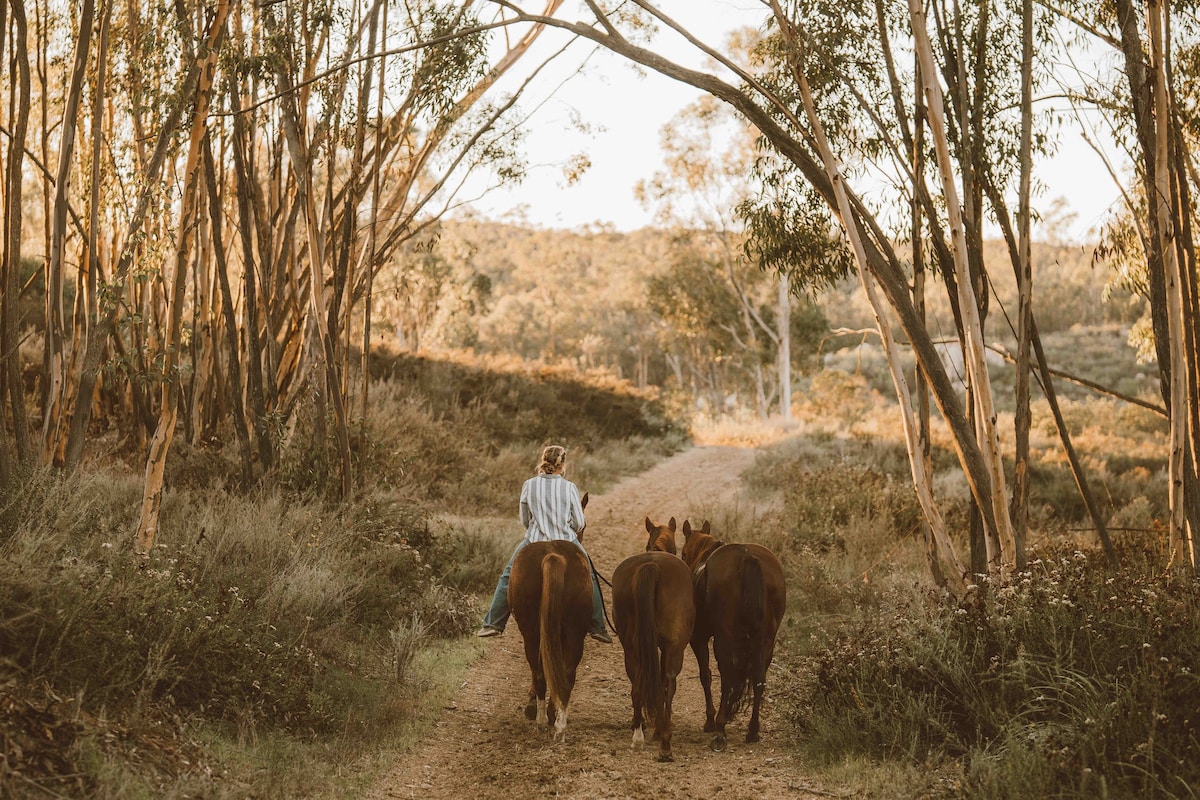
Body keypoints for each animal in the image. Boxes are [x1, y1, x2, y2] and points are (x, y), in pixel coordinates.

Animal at [508, 494, 592, 743]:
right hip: (572, 632)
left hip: (533, 631)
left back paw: (543, 719)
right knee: (565, 673)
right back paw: (558, 722)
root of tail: (552, 555)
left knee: (543, 672)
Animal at [614, 551, 691, 762]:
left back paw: (639, 736)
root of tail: (652, 565)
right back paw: (664, 743)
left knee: (637, 687)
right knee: (668, 684)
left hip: (632, 649)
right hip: (673, 648)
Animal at [686, 520, 787, 753]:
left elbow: (706, 675)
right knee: (759, 679)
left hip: (725, 638)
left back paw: (720, 730)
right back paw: (753, 730)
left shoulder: (699, 638)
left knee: (728, 676)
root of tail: (748, 557)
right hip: (766, 640)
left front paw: (710, 721)